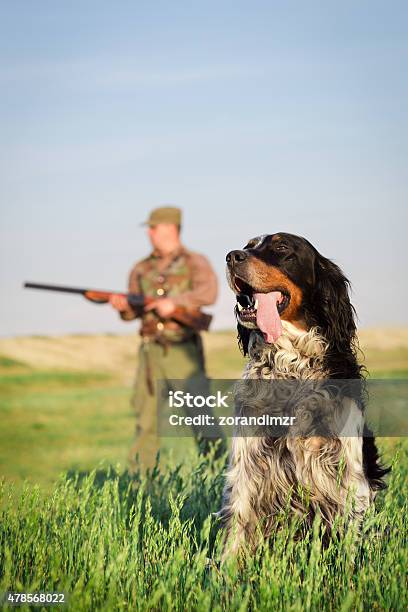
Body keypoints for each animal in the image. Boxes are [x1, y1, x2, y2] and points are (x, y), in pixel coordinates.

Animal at [220, 232, 388, 556]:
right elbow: (238, 528)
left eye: (282, 247)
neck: (290, 366)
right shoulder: (248, 465)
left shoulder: (347, 472)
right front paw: (226, 569)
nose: (232, 256)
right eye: (248, 246)